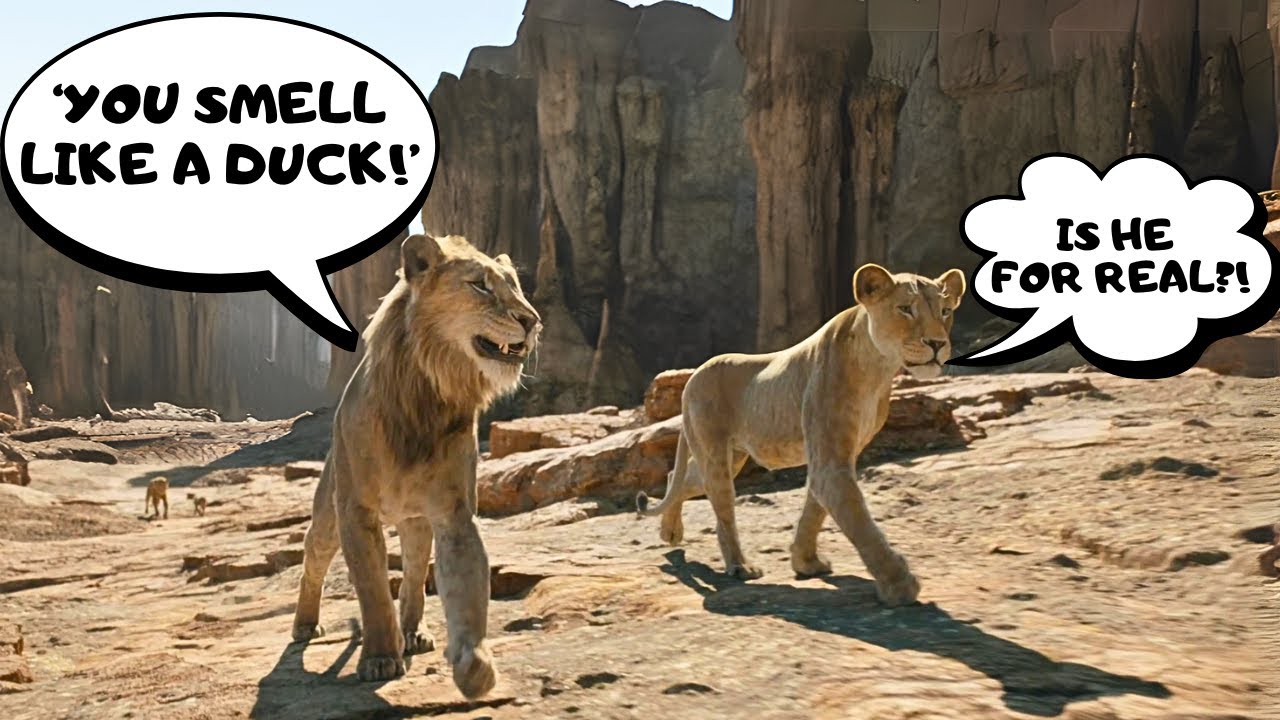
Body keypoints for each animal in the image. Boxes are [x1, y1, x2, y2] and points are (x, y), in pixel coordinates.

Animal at [292, 234, 540, 697]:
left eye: (514, 285)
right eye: (479, 285)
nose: (532, 322)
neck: (427, 392)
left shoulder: (452, 511)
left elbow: (465, 584)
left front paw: (474, 665)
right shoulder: (355, 512)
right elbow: (373, 590)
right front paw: (379, 658)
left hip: (415, 523)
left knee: (411, 579)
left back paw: (413, 633)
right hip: (327, 515)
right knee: (313, 562)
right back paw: (305, 625)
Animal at [637, 263, 965, 607]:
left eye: (945, 311)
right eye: (905, 309)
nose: (937, 344)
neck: (878, 369)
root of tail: (692, 377)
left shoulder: (836, 454)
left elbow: (815, 509)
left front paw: (806, 562)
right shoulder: (831, 461)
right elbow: (859, 522)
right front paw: (899, 584)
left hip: (733, 455)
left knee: (682, 478)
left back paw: (669, 532)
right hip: (714, 452)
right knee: (722, 509)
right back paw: (740, 566)